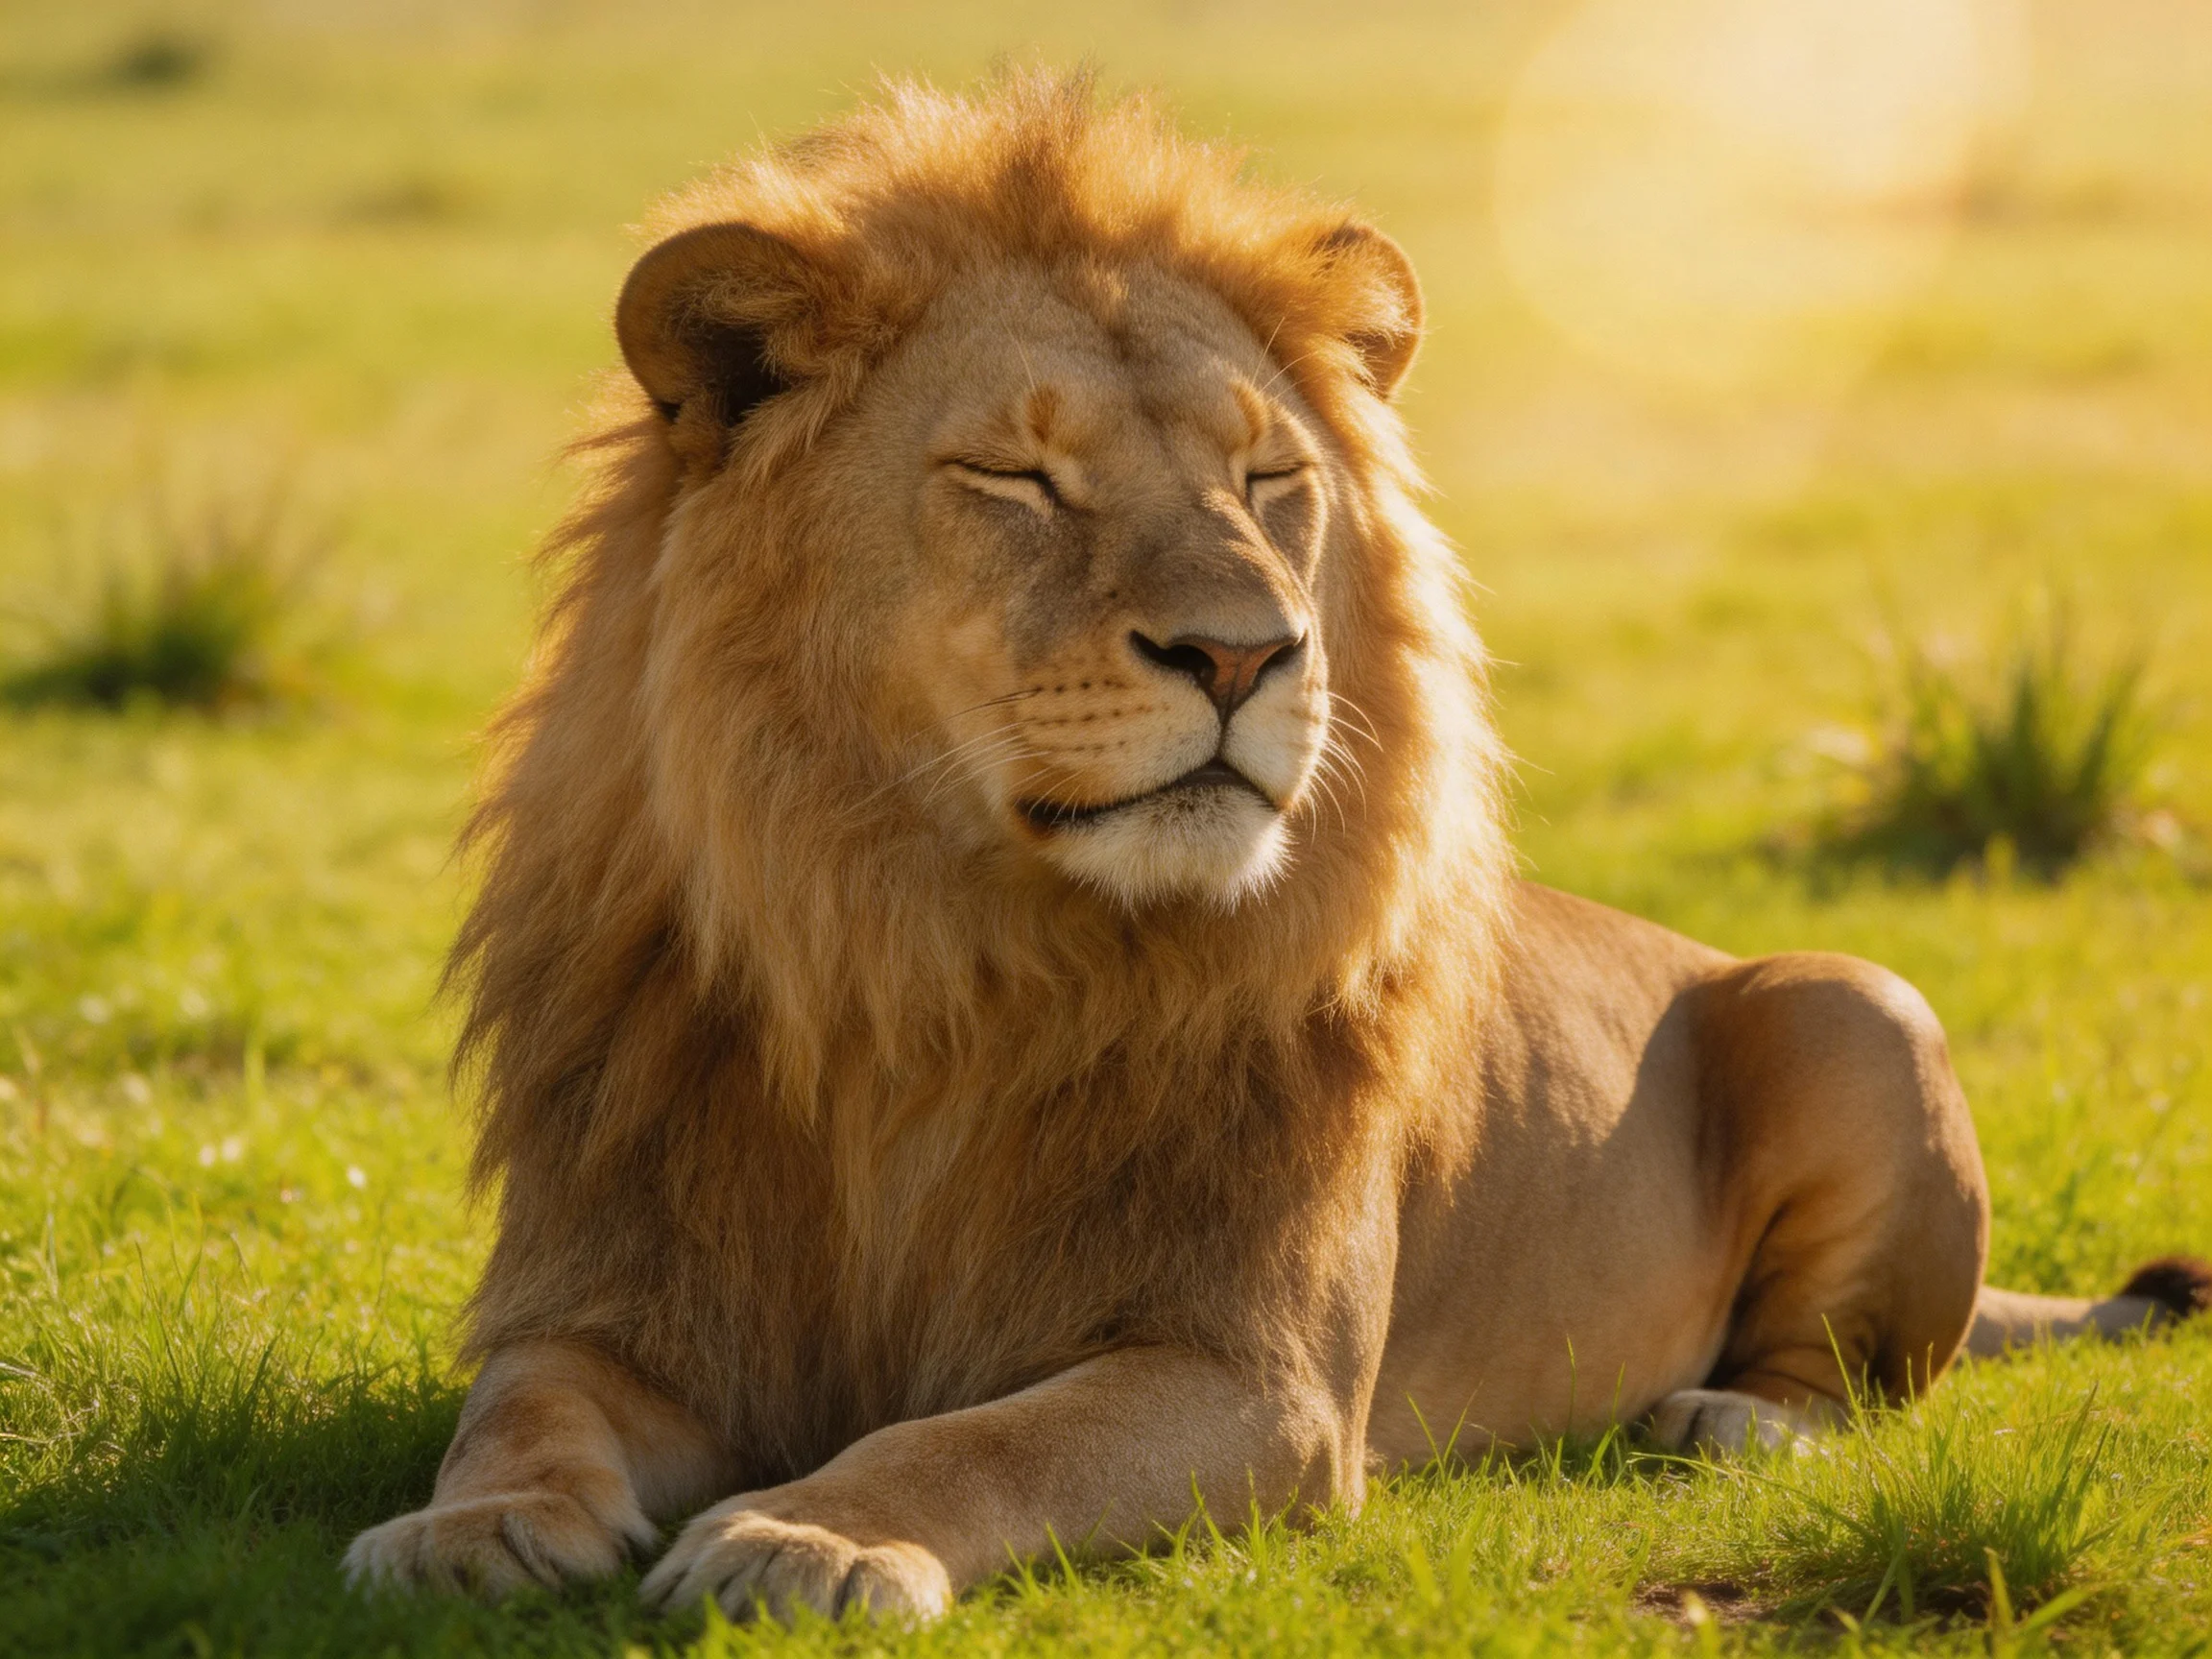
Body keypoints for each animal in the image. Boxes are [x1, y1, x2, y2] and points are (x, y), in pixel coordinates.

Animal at [344, 74, 2207, 1620]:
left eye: (1266, 479)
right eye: (1015, 477)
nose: (1247, 653)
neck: (929, 954)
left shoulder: (1258, 1379)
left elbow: (974, 1440)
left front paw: (807, 1531)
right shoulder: (626, 1296)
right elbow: (522, 1404)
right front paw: (467, 1529)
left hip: (1856, 1000)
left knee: (1865, 1376)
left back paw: (1727, 1421)